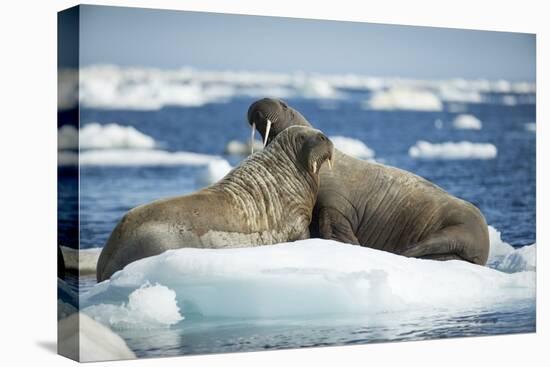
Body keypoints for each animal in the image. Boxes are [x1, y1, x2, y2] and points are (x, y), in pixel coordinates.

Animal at [248, 98, 490, 264]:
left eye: (284, 105)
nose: (260, 102)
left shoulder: (335, 203)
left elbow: (334, 226)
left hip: (464, 226)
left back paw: (401, 251)